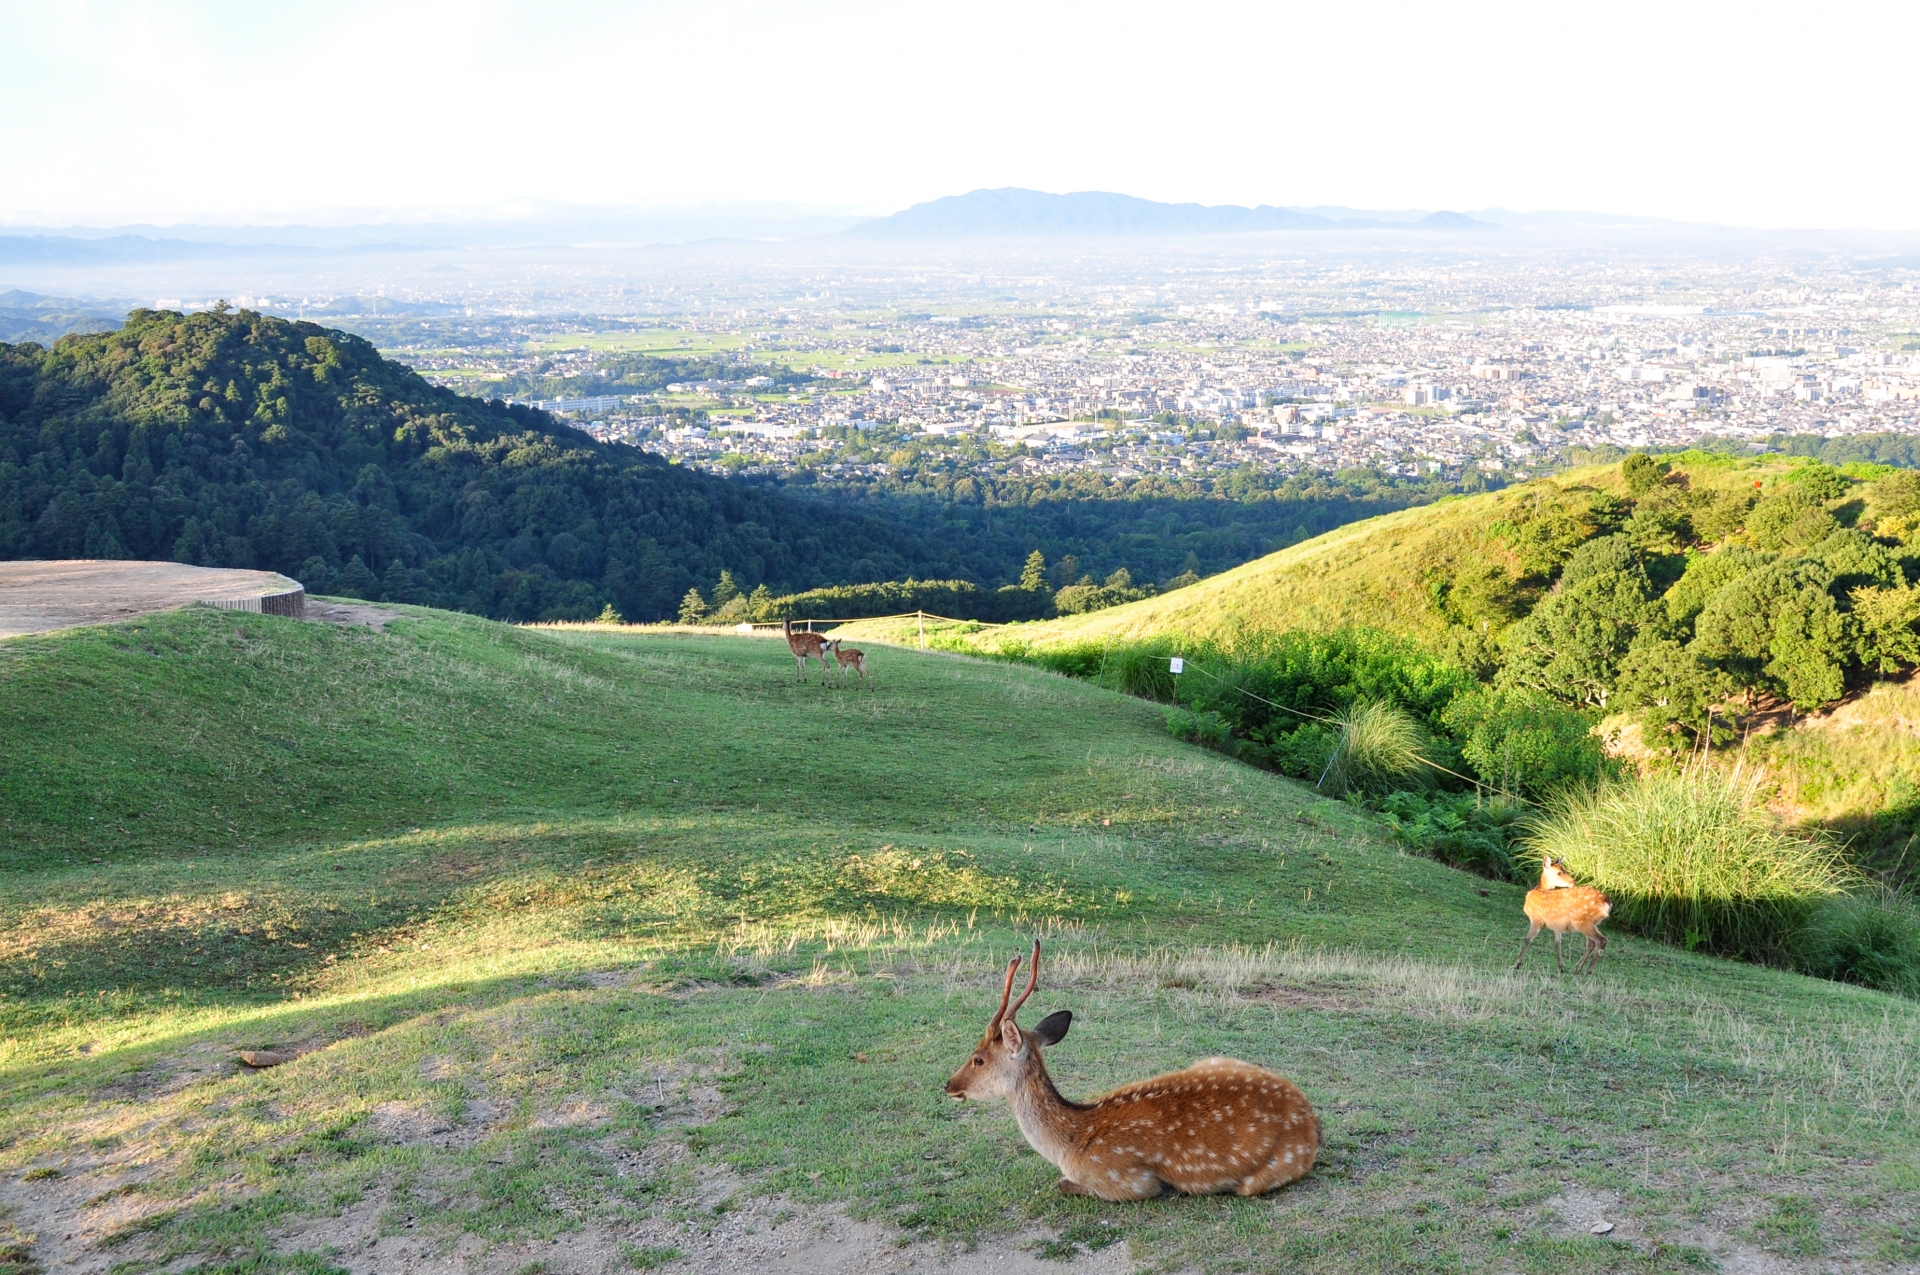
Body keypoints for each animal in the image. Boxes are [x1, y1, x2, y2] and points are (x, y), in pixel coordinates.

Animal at [944, 940, 1319, 1201]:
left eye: (978, 1059)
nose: (948, 1085)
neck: (1071, 1144)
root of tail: (1312, 1123)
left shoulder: (1128, 1180)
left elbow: (1063, 1184)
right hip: (1213, 1058)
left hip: (1261, 1177)